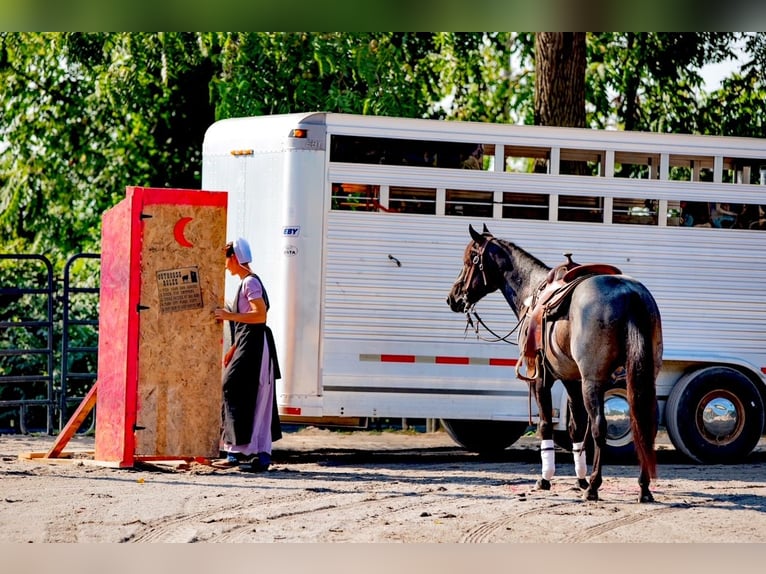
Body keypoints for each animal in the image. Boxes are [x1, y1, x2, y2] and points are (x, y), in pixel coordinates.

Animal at [450, 225, 664, 504]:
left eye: (469, 261)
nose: (453, 297)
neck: (532, 292)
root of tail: (630, 295)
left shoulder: (541, 378)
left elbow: (545, 425)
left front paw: (546, 478)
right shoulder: (571, 380)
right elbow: (576, 428)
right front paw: (579, 479)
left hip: (593, 382)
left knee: (600, 427)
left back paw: (595, 486)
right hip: (642, 378)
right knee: (644, 424)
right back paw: (643, 487)